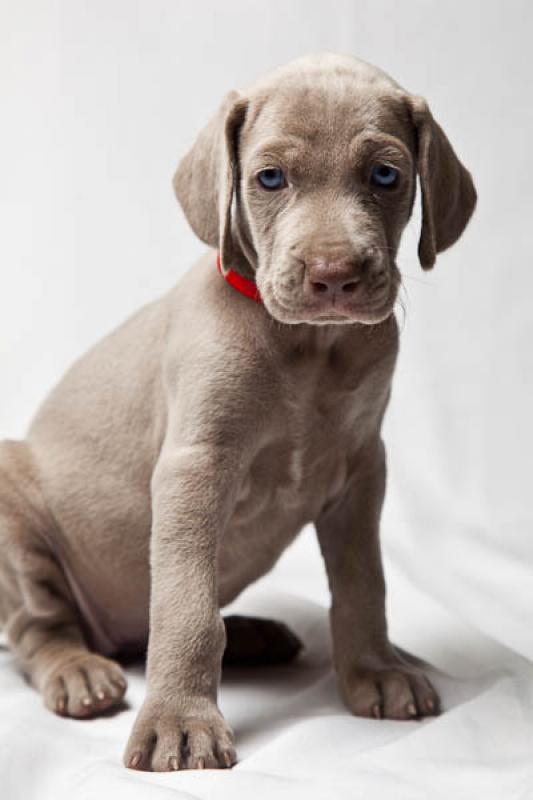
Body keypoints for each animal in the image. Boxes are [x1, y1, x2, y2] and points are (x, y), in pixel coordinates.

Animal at [0, 53, 474, 772]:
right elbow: (187, 609)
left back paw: (253, 633)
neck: (310, 347)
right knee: (40, 626)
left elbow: (364, 584)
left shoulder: (362, 470)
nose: (333, 275)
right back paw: (78, 671)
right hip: (18, 513)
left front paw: (376, 670)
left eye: (385, 174)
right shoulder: (195, 469)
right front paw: (179, 719)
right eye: (269, 178)